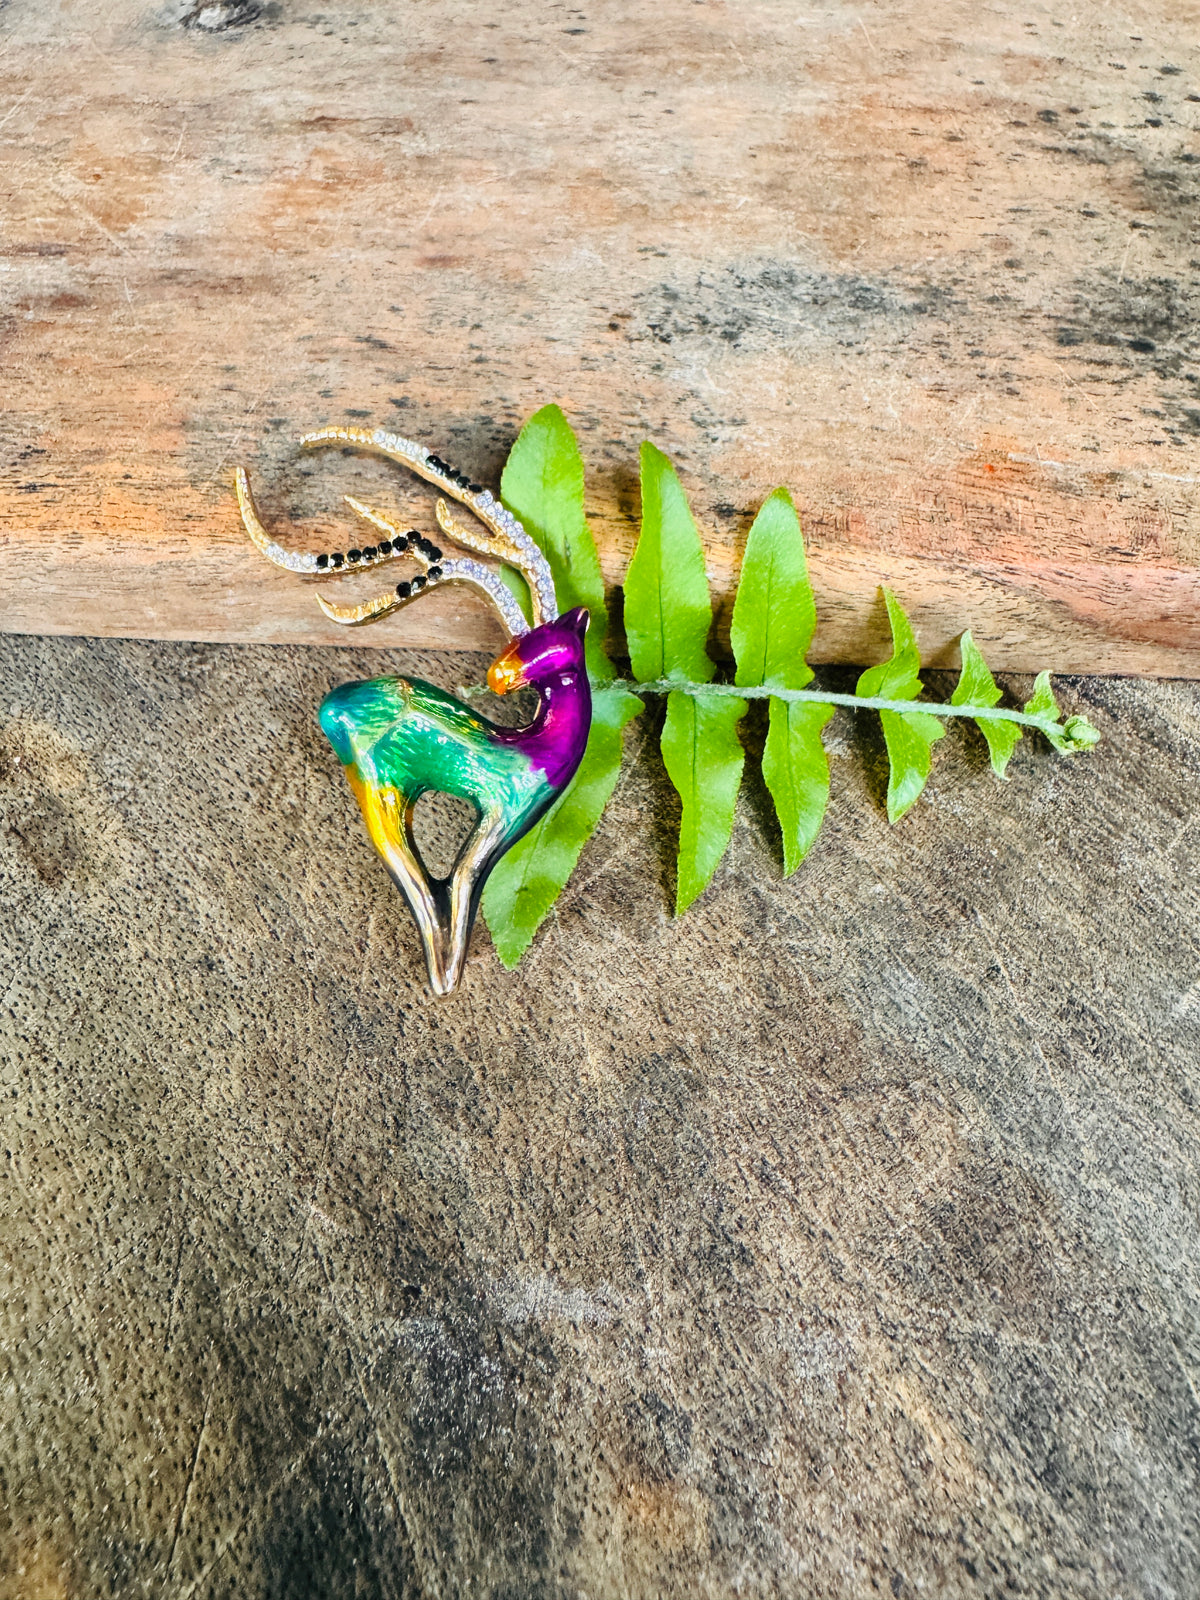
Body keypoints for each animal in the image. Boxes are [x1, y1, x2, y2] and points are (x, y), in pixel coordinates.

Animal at [235, 427, 591, 996]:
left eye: (550, 642)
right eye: (523, 640)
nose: (498, 675)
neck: (534, 746)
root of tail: (333, 706)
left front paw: (447, 974)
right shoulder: (502, 814)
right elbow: (459, 891)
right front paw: (446, 976)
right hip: (382, 788)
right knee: (417, 886)